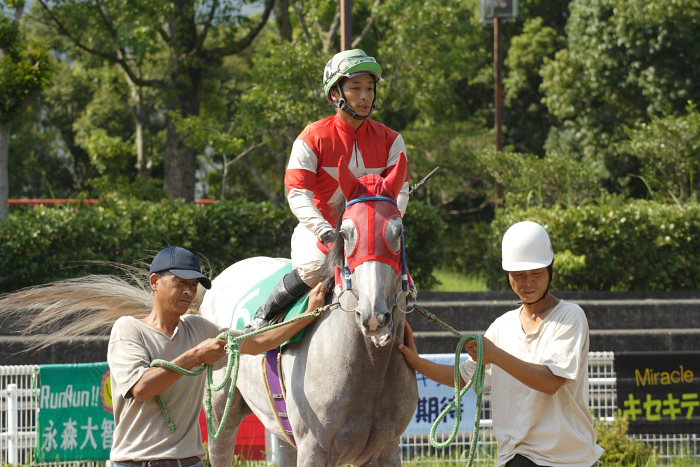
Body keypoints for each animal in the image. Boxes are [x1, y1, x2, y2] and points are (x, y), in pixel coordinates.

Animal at [200, 155, 418, 466]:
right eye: (346, 233)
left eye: (397, 232)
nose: (374, 316)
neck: (370, 365)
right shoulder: (314, 447)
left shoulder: (386, 449)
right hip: (221, 405)